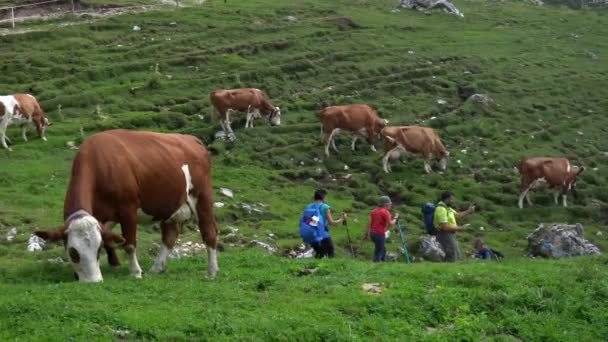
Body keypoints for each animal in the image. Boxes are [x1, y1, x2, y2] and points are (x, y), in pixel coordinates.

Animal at [33, 129, 218, 284]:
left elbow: (129, 243)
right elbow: (111, 238)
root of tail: (192, 138)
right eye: (73, 252)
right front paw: (115, 264)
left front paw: (135, 272)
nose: (93, 281)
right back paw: (156, 268)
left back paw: (211, 271)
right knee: (169, 236)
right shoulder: (102, 216)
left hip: (202, 196)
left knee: (209, 232)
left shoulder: (127, 208)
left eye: (97, 250)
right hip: (170, 206)